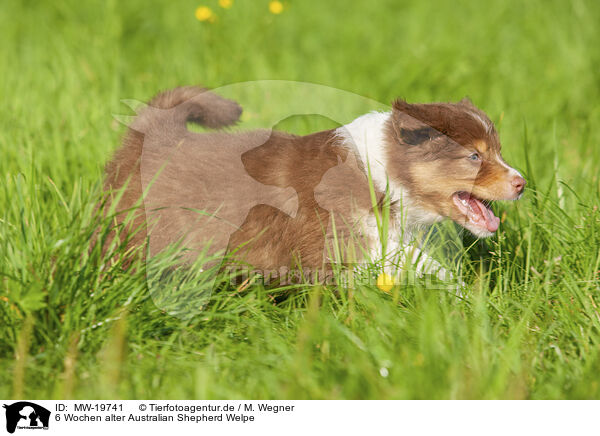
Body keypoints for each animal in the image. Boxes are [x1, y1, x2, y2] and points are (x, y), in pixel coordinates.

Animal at [103, 87, 524, 282]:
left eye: (497, 151)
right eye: (474, 157)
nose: (521, 184)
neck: (383, 176)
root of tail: (153, 132)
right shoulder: (333, 240)